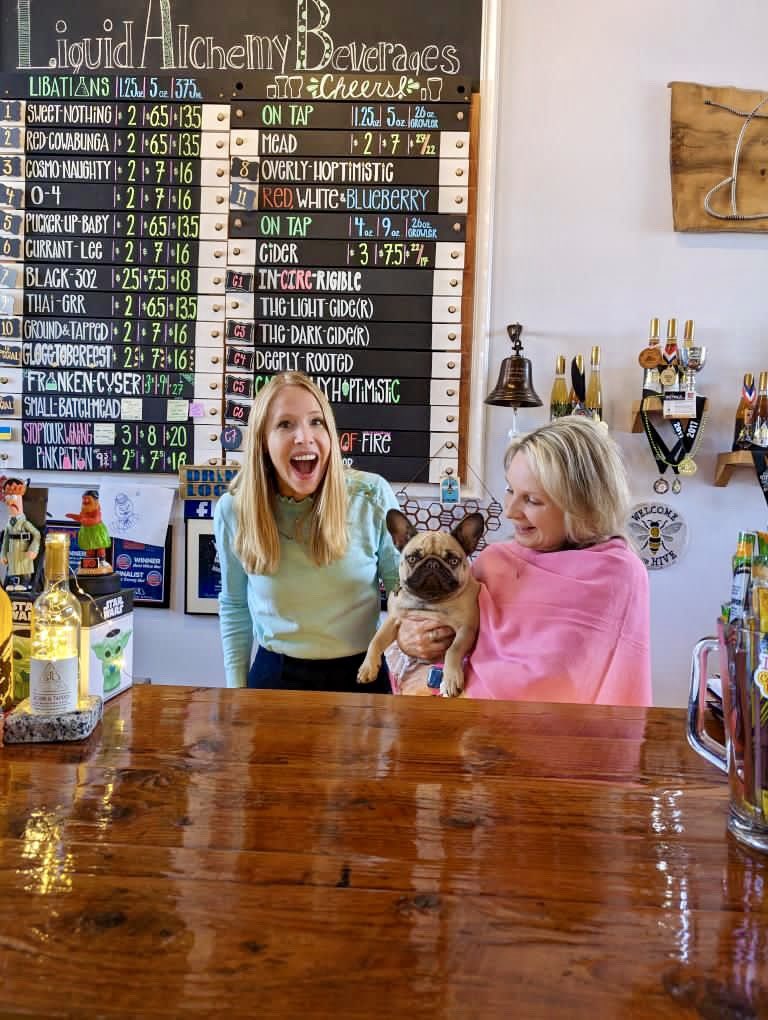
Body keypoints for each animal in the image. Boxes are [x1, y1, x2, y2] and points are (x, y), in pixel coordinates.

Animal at [359, 507, 485, 697]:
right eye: (412, 558)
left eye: (453, 560)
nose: (432, 564)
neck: (430, 601)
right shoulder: (392, 621)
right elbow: (376, 640)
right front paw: (368, 667)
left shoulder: (466, 630)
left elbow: (453, 650)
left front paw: (450, 679)